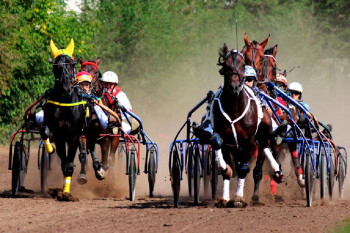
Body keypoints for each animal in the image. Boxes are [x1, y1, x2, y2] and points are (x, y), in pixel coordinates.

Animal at [211, 44, 282, 208]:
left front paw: (238, 198)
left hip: (262, 139)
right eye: (225, 65)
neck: (234, 107)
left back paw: (257, 194)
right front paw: (224, 197)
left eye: (243, 65)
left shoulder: (249, 141)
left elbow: (244, 169)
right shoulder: (225, 139)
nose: (234, 86)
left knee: (259, 166)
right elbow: (225, 164)